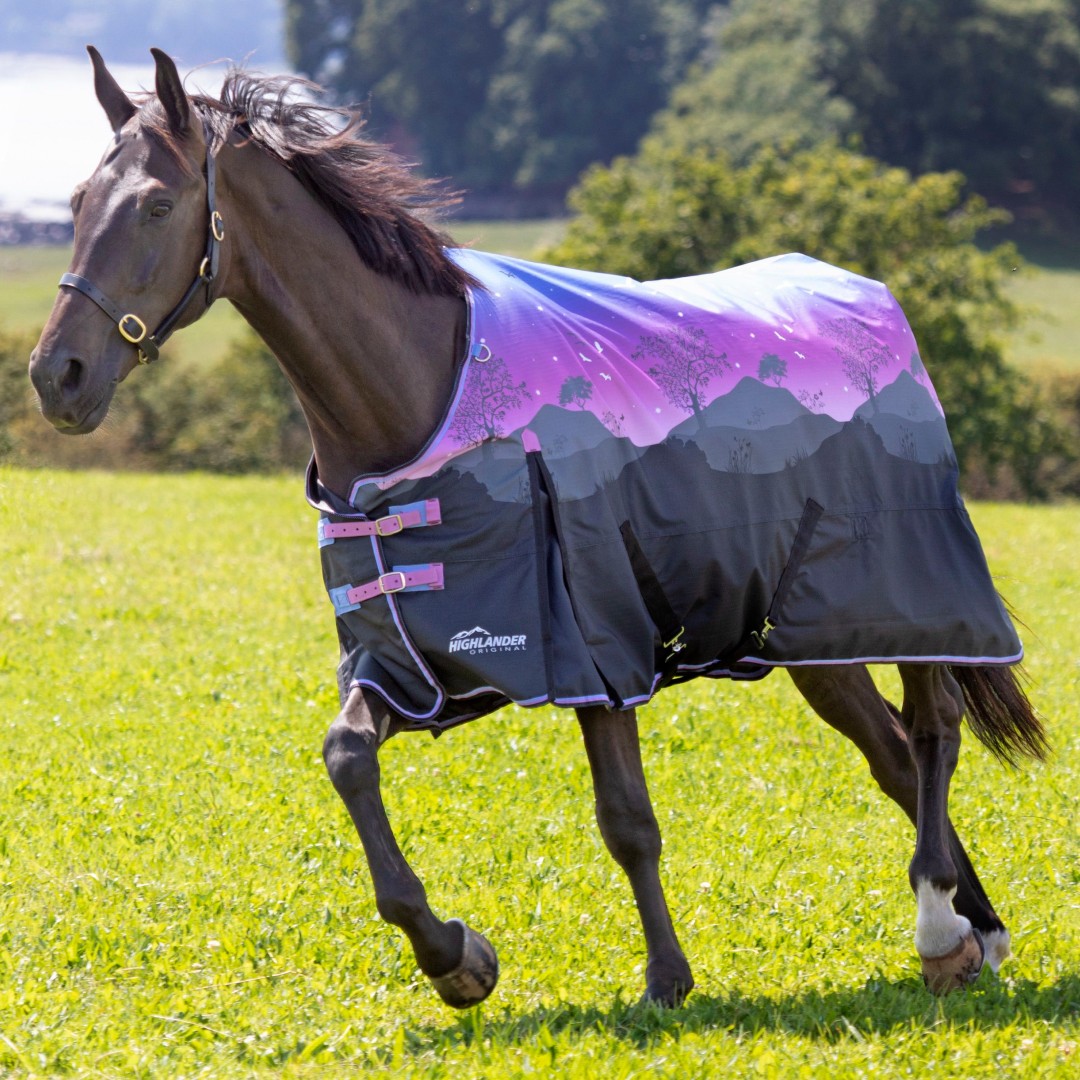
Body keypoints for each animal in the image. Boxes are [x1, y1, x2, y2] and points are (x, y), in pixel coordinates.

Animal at [29, 47, 1047, 1009]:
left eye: (159, 204)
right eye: (76, 202)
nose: (56, 376)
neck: (417, 397)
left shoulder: (598, 648)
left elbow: (627, 820)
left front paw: (665, 981)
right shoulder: (411, 666)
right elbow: (347, 759)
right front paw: (455, 959)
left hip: (907, 600)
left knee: (934, 732)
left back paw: (939, 924)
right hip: (809, 638)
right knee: (891, 756)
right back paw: (976, 931)